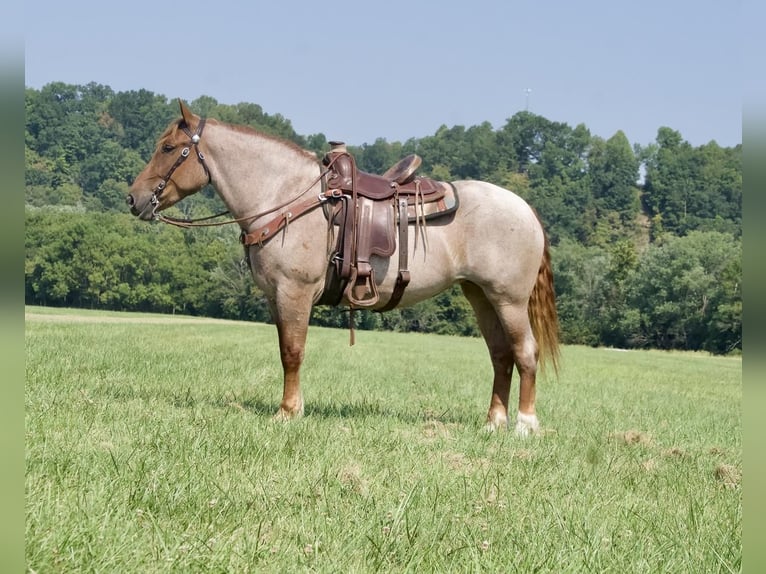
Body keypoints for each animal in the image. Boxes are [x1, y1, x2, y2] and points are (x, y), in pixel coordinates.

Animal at [124, 101, 560, 434]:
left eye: (168, 147)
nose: (133, 198)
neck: (285, 198)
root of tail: (525, 208)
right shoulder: (276, 298)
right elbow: (285, 350)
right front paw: (293, 407)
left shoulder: (295, 291)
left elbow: (292, 352)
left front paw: (287, 412)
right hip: (481, 296)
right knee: (501, 355)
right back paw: (493, 423)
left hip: (508, 300)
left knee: (525, 352)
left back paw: (525, 425)